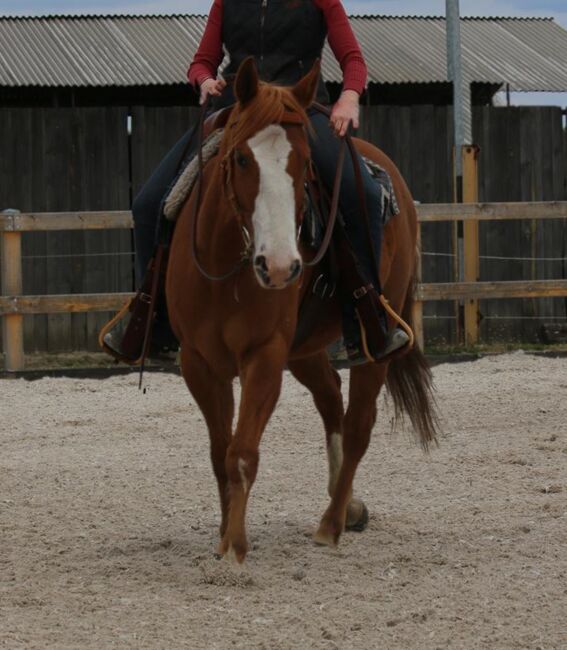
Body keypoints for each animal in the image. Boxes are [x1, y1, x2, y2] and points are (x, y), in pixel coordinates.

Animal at [166, 58, 438, 560]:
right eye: (241, 158)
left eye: (306, 163)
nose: (279, 266)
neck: (229, 268)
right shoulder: (198, 362)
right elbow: (219, 453)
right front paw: (224, 535)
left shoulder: (266, 354)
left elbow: (242, 452)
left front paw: (234, 549)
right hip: (304, 348)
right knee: (331, 396)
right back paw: (348, 506)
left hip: (372, 340)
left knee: (358, 423)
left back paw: (331, 523)